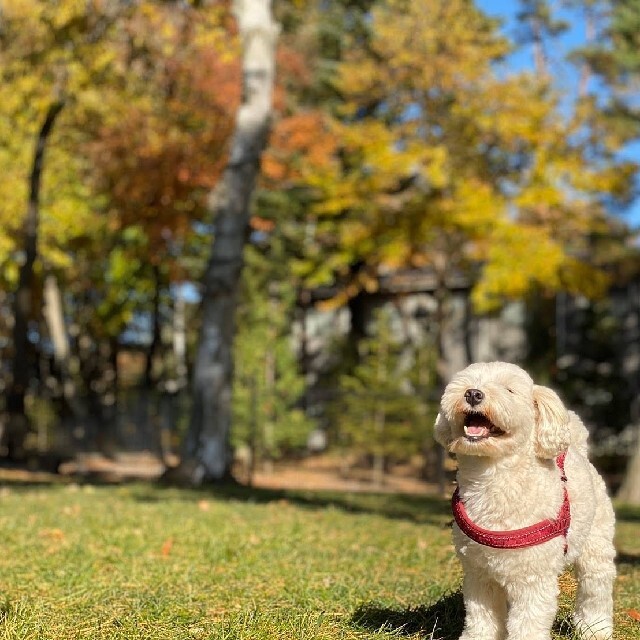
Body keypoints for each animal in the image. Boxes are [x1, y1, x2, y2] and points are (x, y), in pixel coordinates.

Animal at [436, 362, 616, 636]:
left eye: (509, 390)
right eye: (466, 384)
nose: (473, 394)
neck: (493, 478)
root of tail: (578, 450)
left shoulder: (534, 578)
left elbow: (528, 622)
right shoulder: (479, 575)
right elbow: (481, 618)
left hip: (596, 541)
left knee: (596, 585)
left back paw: (596, 629)